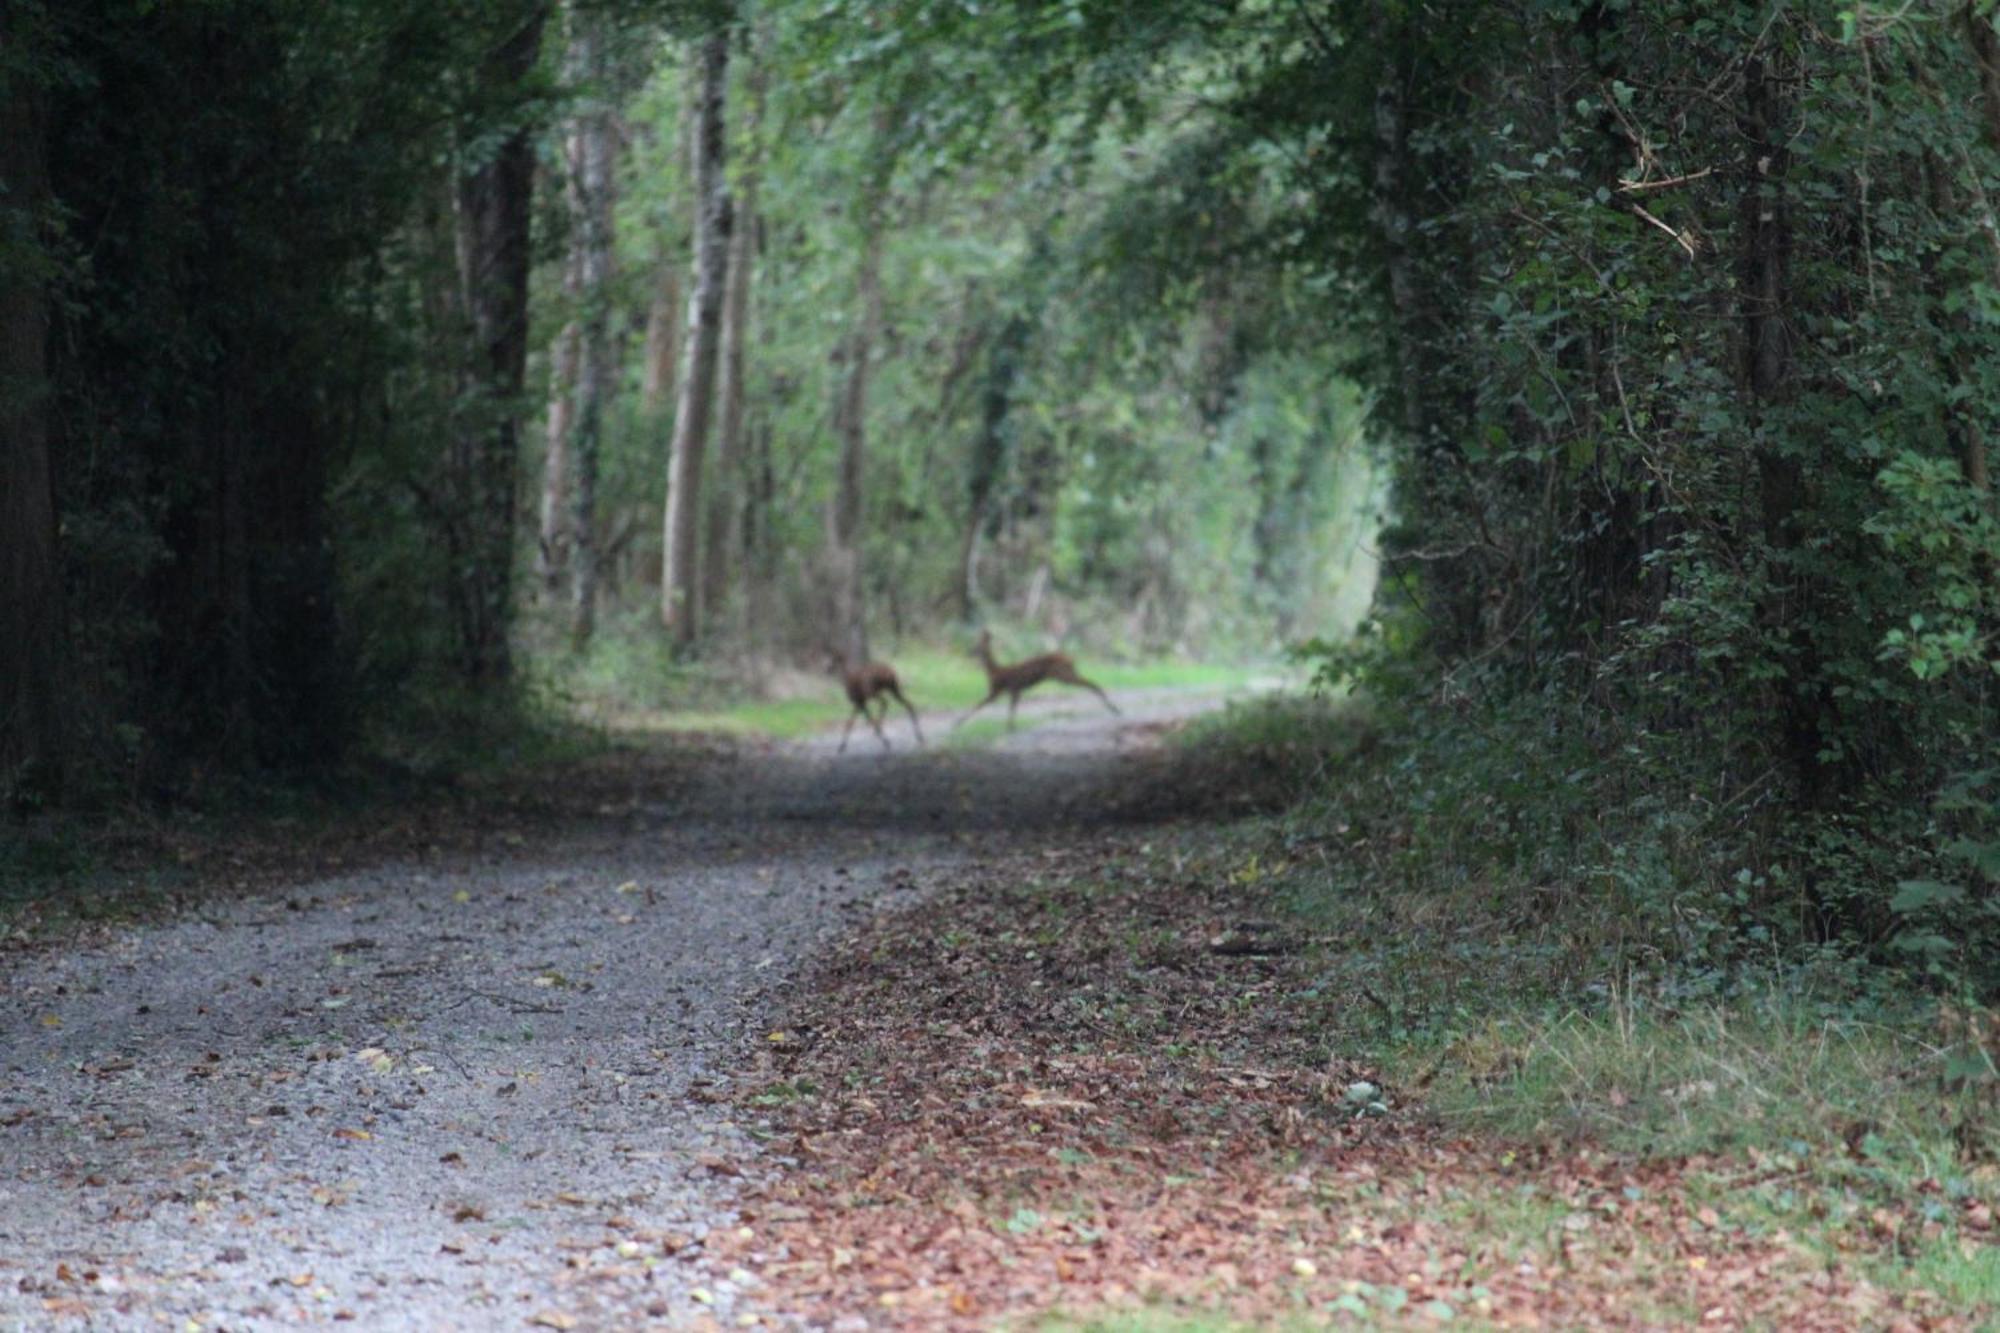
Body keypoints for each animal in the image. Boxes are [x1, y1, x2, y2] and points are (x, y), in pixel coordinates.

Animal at [956, 632, 1120, 732]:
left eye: (976, 646)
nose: (968, 651)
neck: (994, 670)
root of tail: (1071, 658)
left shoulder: (1000, 689)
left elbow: (979, 704)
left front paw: (959, 722)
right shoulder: (1014, 689)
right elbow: (1010, 707)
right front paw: (1011, 727)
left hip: (1063, 674)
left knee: (1091, 683)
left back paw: (1114, 708)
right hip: (1065, 674)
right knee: (1090, 682)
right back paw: (1113, 708)